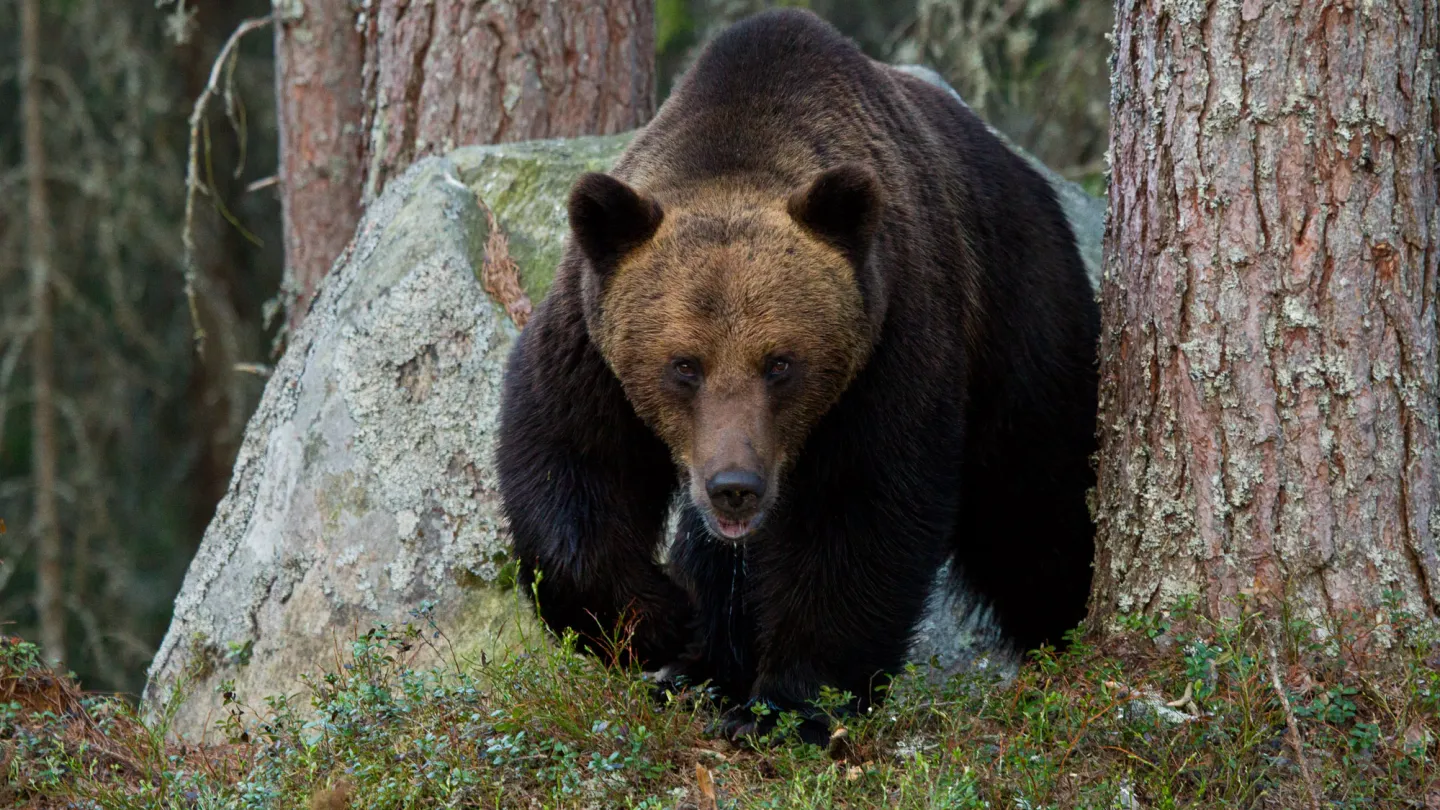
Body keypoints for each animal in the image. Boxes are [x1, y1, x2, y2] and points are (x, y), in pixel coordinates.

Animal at [489, 6, 1094, 743]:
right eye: (683, 365)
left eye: (780, 363)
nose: (734, 487)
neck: (736, 153)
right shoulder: (589, 341)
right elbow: (569, 460)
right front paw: (665, 623)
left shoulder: (888, 347)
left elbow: (858, 514)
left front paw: (790, 704)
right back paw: (700, 670)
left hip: (1022, 327)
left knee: (1036, 508)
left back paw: (1063, 634)